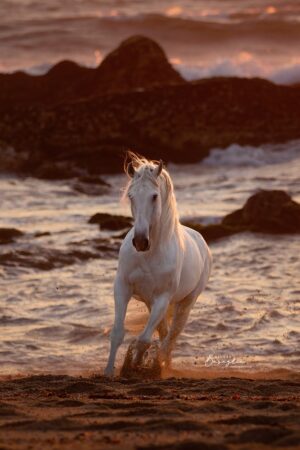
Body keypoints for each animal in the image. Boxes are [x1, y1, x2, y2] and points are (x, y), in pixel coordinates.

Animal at [104, 155, 212, 376]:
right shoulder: (122, 288)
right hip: (151, 302)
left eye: (154, 196)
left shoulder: (163, 298)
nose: (140, 242)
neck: (149, 255)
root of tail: (202, 242)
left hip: (185, 304)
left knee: (171, 338)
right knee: (164, 334)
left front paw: (133, 366)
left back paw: (159, 366)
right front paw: (110, 371)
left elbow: (144, 339)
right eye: (131, 196)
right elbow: (118, 332)